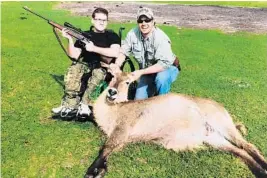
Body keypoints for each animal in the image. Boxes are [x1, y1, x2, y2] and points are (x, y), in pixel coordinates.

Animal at [85, 69, 267, 177]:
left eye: (128, 82)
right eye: (113, 77)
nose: (112, 92)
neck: (113, 111)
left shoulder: (122, 129)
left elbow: (105, 148)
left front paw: (92, 171)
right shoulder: (123, 139)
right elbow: (108, 150)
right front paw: (101, 170)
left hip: (222, 124)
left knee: (248, 145)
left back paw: (264, 168)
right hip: (212, 138)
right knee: (239, 151)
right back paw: (260, 171)